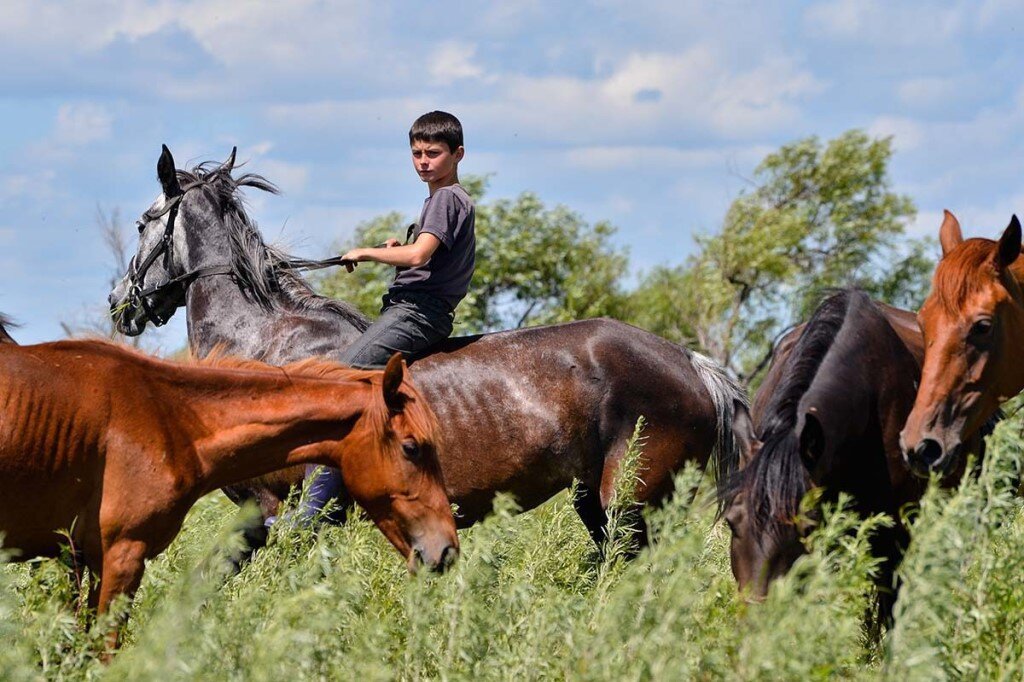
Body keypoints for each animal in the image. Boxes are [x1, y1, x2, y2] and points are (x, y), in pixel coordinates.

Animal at [110, 146, 753, 557]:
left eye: (142, 223)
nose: (120, 304)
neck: (262, 345)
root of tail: (691, 364)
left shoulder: (265, 506)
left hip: (633, 504)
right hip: (595, 500)